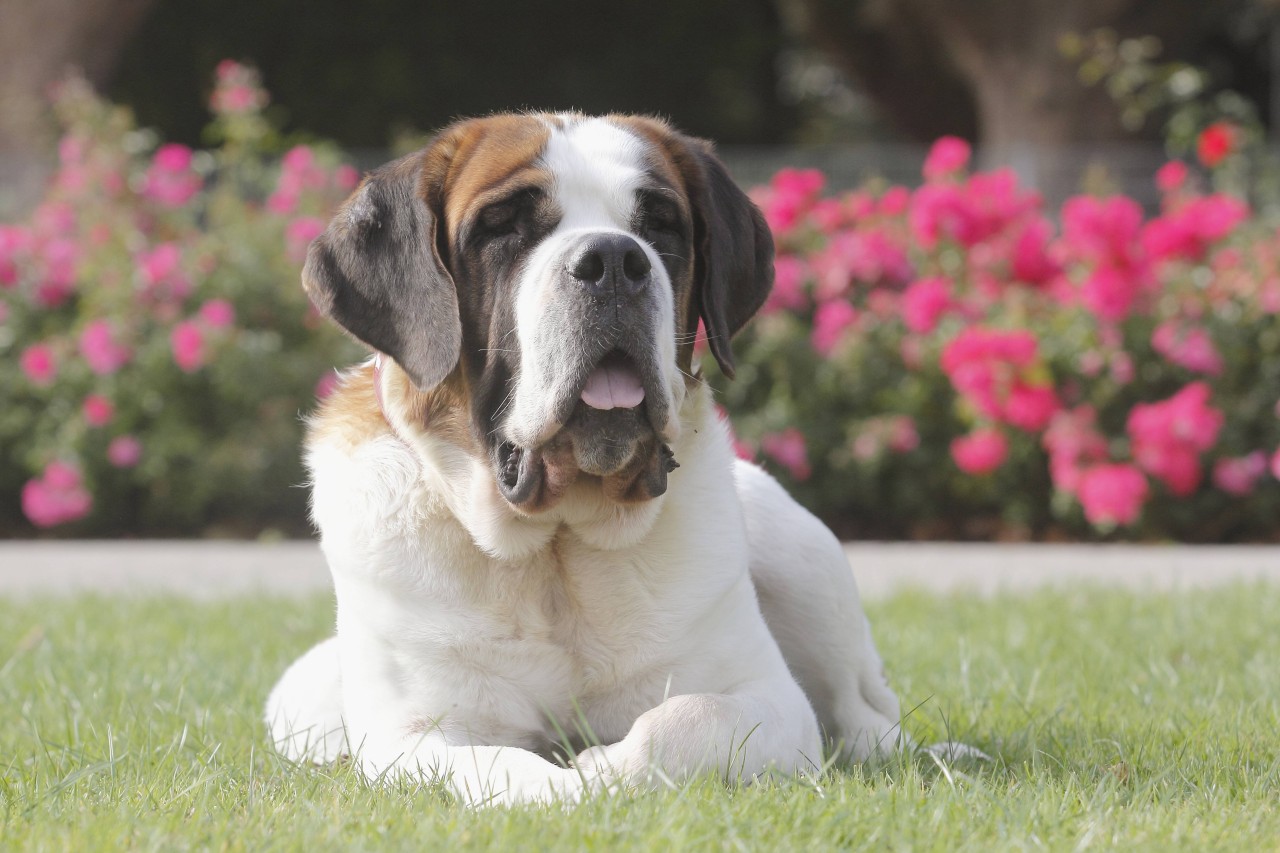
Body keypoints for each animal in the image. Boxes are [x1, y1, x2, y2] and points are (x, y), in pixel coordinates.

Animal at [263, 112, 901, 804]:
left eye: (660, 225)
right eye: (503, 225)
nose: (614, 259)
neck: (555, 549)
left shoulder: (771, 700)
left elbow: (684, 719)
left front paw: (601, 766)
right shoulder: (409, 734)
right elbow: (504, 767)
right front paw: (567, 785)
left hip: (799, 555)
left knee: (868, 718)